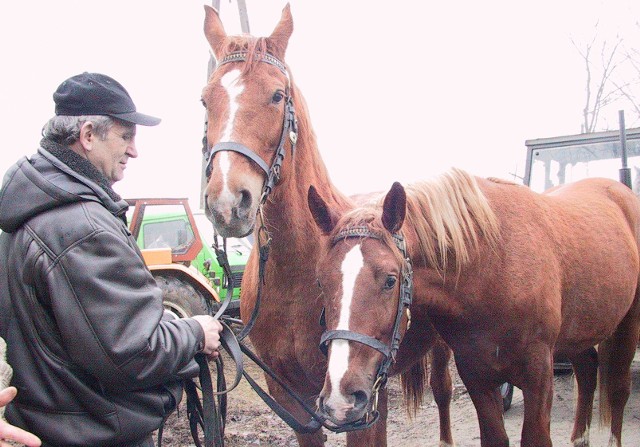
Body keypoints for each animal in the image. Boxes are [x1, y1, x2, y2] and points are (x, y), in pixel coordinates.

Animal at [200, 3, 456, 447]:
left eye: (277, 95)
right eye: (204, 100)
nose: (228, 202)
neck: (291, 279)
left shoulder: (359, 405)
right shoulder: (293, 398)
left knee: (443, 393)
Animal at [306, 169, 640, 447]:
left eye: (390, 280)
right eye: (320, 282)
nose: (340, 400)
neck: (492, 267)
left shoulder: (538, 377)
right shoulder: (477, 377)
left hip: (627, 326)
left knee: (618, 390)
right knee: (587, 371)